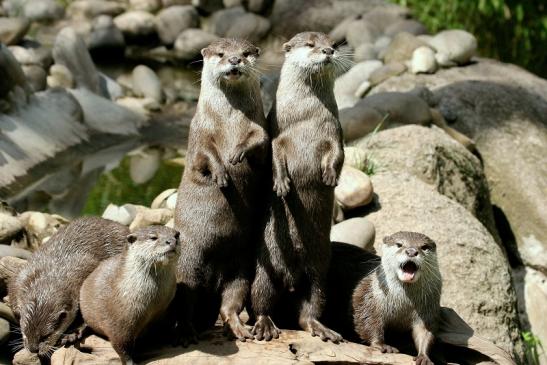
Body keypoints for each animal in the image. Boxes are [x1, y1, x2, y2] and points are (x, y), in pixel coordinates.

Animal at [7, 216, 130, 356]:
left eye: (46, 336)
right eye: (24, 333)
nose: (33, 349)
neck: (53, 273)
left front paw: (73, 333)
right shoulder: (23, 275)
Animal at [79, 225, 180, 364]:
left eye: (176, 235)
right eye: (153, 237)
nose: (171, 242)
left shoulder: (165, 309)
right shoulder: (119, 323)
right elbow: (121, 346)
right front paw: (130, 361)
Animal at [174, 37, 268, 342]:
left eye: (246, 52)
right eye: (221, 53)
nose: (235, 60)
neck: (228, 123)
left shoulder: (260, 127)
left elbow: (259, 140)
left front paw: (238, 153)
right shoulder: (198, 134)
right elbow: (206, 156)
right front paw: (222, 174)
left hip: (240, 269)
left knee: (230, 302)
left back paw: (239, 328)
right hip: (187, 265)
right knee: (185, 302)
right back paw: (187, 332)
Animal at [250, 31, 344, 342]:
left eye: (333, 44)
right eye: (311, 45)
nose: (328, 51)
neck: (306, 118)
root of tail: (291, 278)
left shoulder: (334, 132)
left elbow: (338, 155)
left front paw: (330, 177)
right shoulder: (278, 134)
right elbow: (275, 157)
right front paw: (281, 185)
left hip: (319, 274)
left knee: (308, 311)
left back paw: (323, 329)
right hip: (264, 270)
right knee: (259, 301)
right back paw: (265, 326)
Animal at [324, 233, 444, 364]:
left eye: (424, 247)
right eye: (399, 244)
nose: (412, 251)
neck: (403, 304)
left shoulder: (429, 306)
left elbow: (425, 330)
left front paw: (424, 356)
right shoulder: (367, 295)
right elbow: (368, 320)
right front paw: (381, 345)